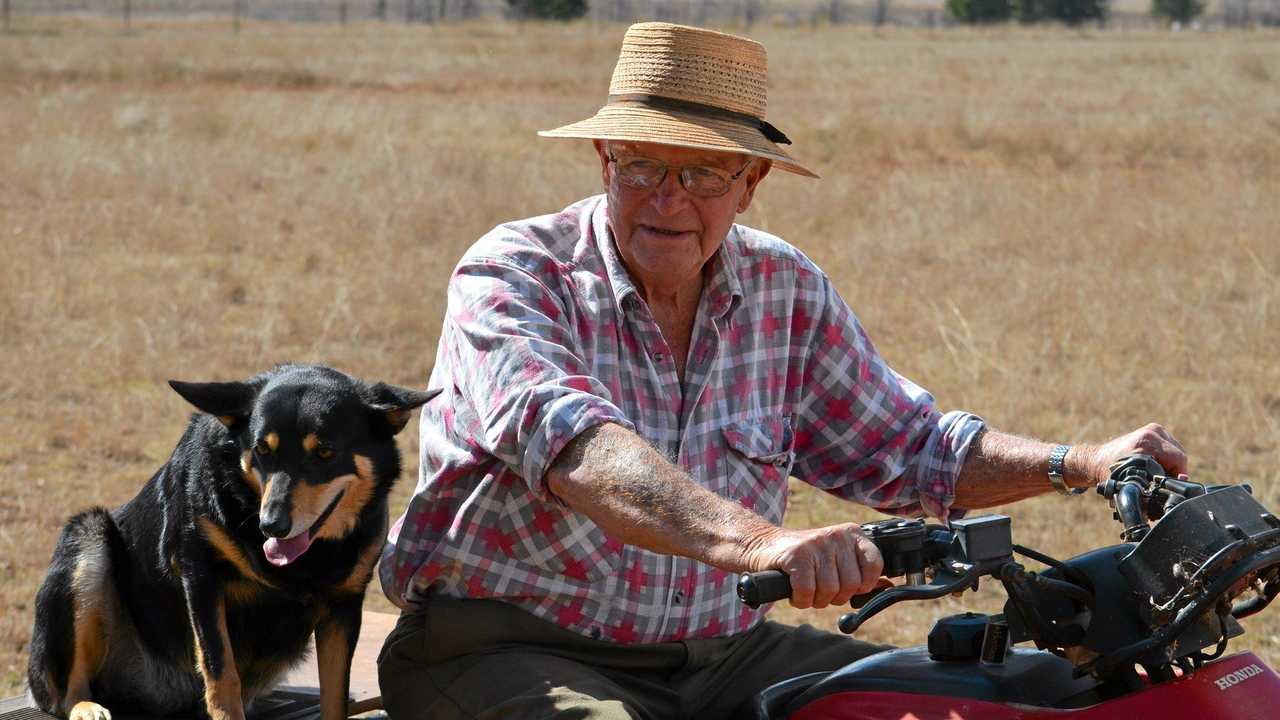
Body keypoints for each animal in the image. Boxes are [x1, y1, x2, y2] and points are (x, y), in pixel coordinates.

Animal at [22, 363, 435, 717]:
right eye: (262, 449)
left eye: (325, 452)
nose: (272, 525)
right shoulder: (200, 576)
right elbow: (222, 676)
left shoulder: (344, 605)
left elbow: (335, 693)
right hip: (87, 543)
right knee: (64, 690)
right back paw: (87, 707)